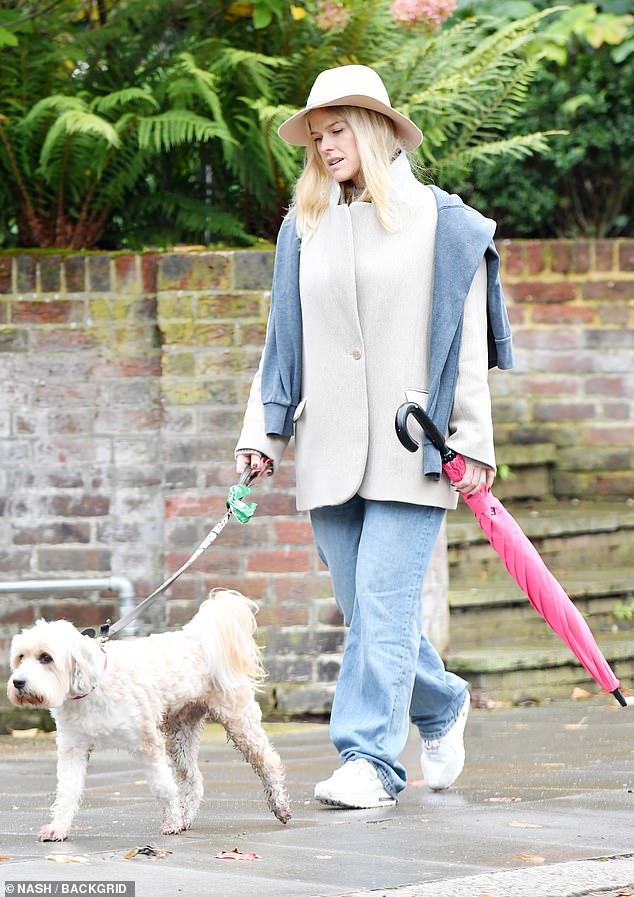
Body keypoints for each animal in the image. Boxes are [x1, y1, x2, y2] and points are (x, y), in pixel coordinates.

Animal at [6, 588, 292, 840]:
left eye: (46, 658)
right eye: (20, 657)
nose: (18, 682)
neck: (93, 686)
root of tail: (198, 637)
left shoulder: (148, 743)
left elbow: (163, 786)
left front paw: (171, 822)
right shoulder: (73, 748)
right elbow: (67, 790)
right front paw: (58, 828)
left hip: (239, 721)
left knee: (267, 762)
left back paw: (280, 807)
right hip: (180, 735)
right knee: (192, 780)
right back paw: (186, 816)